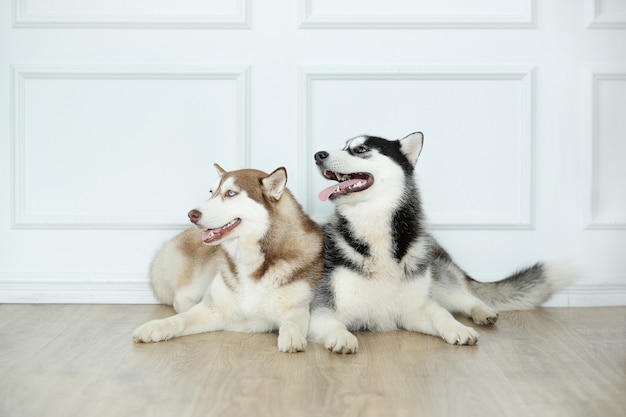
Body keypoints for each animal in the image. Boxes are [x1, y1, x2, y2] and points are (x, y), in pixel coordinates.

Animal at [135, 163, 324, 352]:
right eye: (211, 192)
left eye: (231, 193)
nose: (191, 214)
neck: (250, 259)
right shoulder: (213, 309)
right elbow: (179, 319)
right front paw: (155, 326)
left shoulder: (297, 308)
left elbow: (292, 322)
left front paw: (292, 336)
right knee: (181, 299)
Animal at [308, 132, 576, 352]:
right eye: (342, 146)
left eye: (360, 149)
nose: (318, 155)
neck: (374, 231)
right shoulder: (321, 310)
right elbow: (333, 323)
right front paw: (342, 337)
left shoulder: (415, 308)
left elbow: (442, 315)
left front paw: (459, 328)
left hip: (438, 281)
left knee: (464, 297)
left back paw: (482, 311)